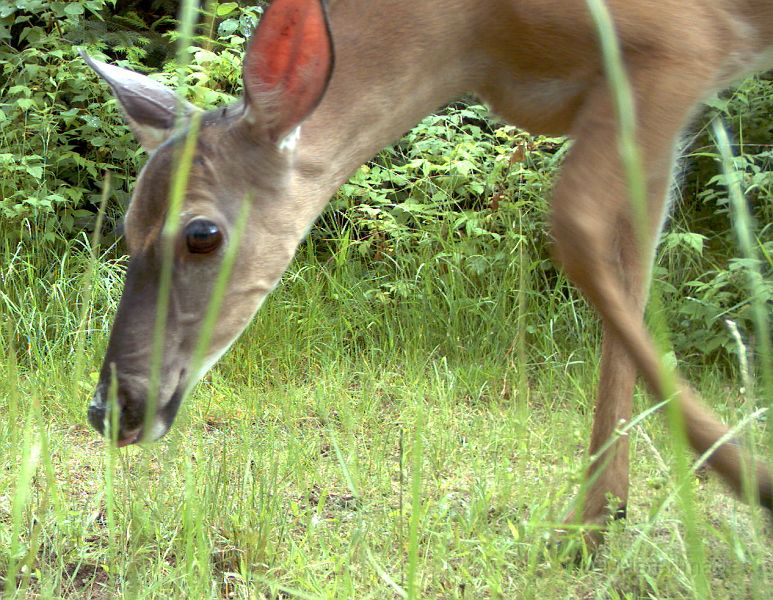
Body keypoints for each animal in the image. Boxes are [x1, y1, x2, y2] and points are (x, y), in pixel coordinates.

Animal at [81, 0, 768, 544]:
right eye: (128, 225)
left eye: (202, 234)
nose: (111, 408)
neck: (476, 36)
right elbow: (632, 265)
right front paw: (596, 520)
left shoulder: (681, 41)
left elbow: (576, 228)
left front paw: (742, 476)